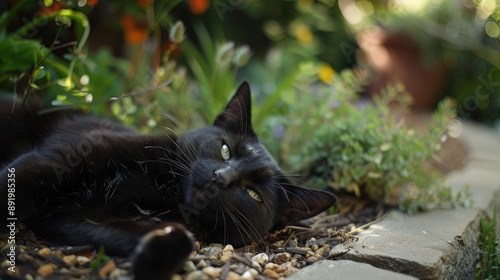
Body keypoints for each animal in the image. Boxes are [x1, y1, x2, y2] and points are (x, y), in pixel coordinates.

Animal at [0, 82, 336, 278]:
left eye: (253, 194)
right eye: (225, 150)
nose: (220, 177)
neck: (164, 192)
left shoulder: (72, 217)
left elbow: (163, 236)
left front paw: (153, 259)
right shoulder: (69, 154)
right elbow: (24, 177)